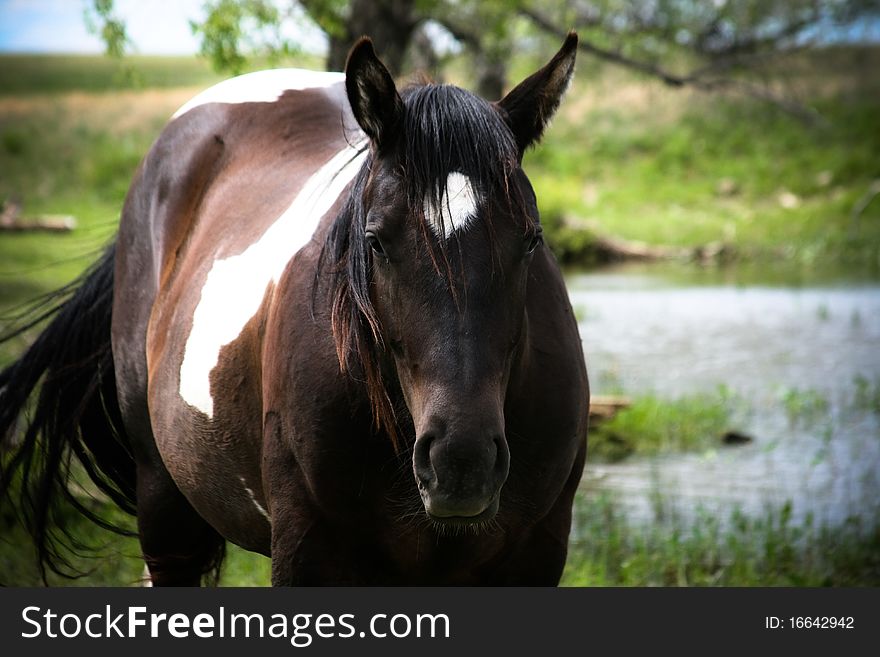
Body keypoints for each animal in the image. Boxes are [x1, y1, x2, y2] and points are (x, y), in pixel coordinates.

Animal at [3, 34, 592, 584]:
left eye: (531, 240)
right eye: (376, 242)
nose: (462, 462)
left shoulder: (536, 555)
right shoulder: (308, 551)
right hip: (165, 508)